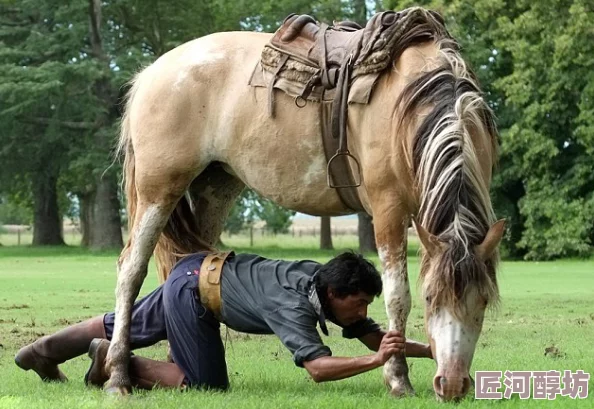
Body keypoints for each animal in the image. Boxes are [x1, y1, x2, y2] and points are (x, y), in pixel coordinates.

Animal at [104, 7, 502, 402]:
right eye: (431, 298)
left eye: (484, 302)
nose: (452, 385)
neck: (414, 103)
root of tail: (151, 73)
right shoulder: (388, 210)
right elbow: (397, 298)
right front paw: (398, 379)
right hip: (158, 190)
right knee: (130, 269)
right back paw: (118, 375)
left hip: (214, 188)